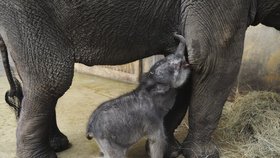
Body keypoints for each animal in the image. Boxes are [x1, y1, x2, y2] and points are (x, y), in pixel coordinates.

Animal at [0, 0, 278, 158]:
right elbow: (214, 61)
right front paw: (204, 155)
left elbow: (192, 65)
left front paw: (171, 149)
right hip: (25, 13)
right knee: (51, 78)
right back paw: (42, 156)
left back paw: (58, 143)